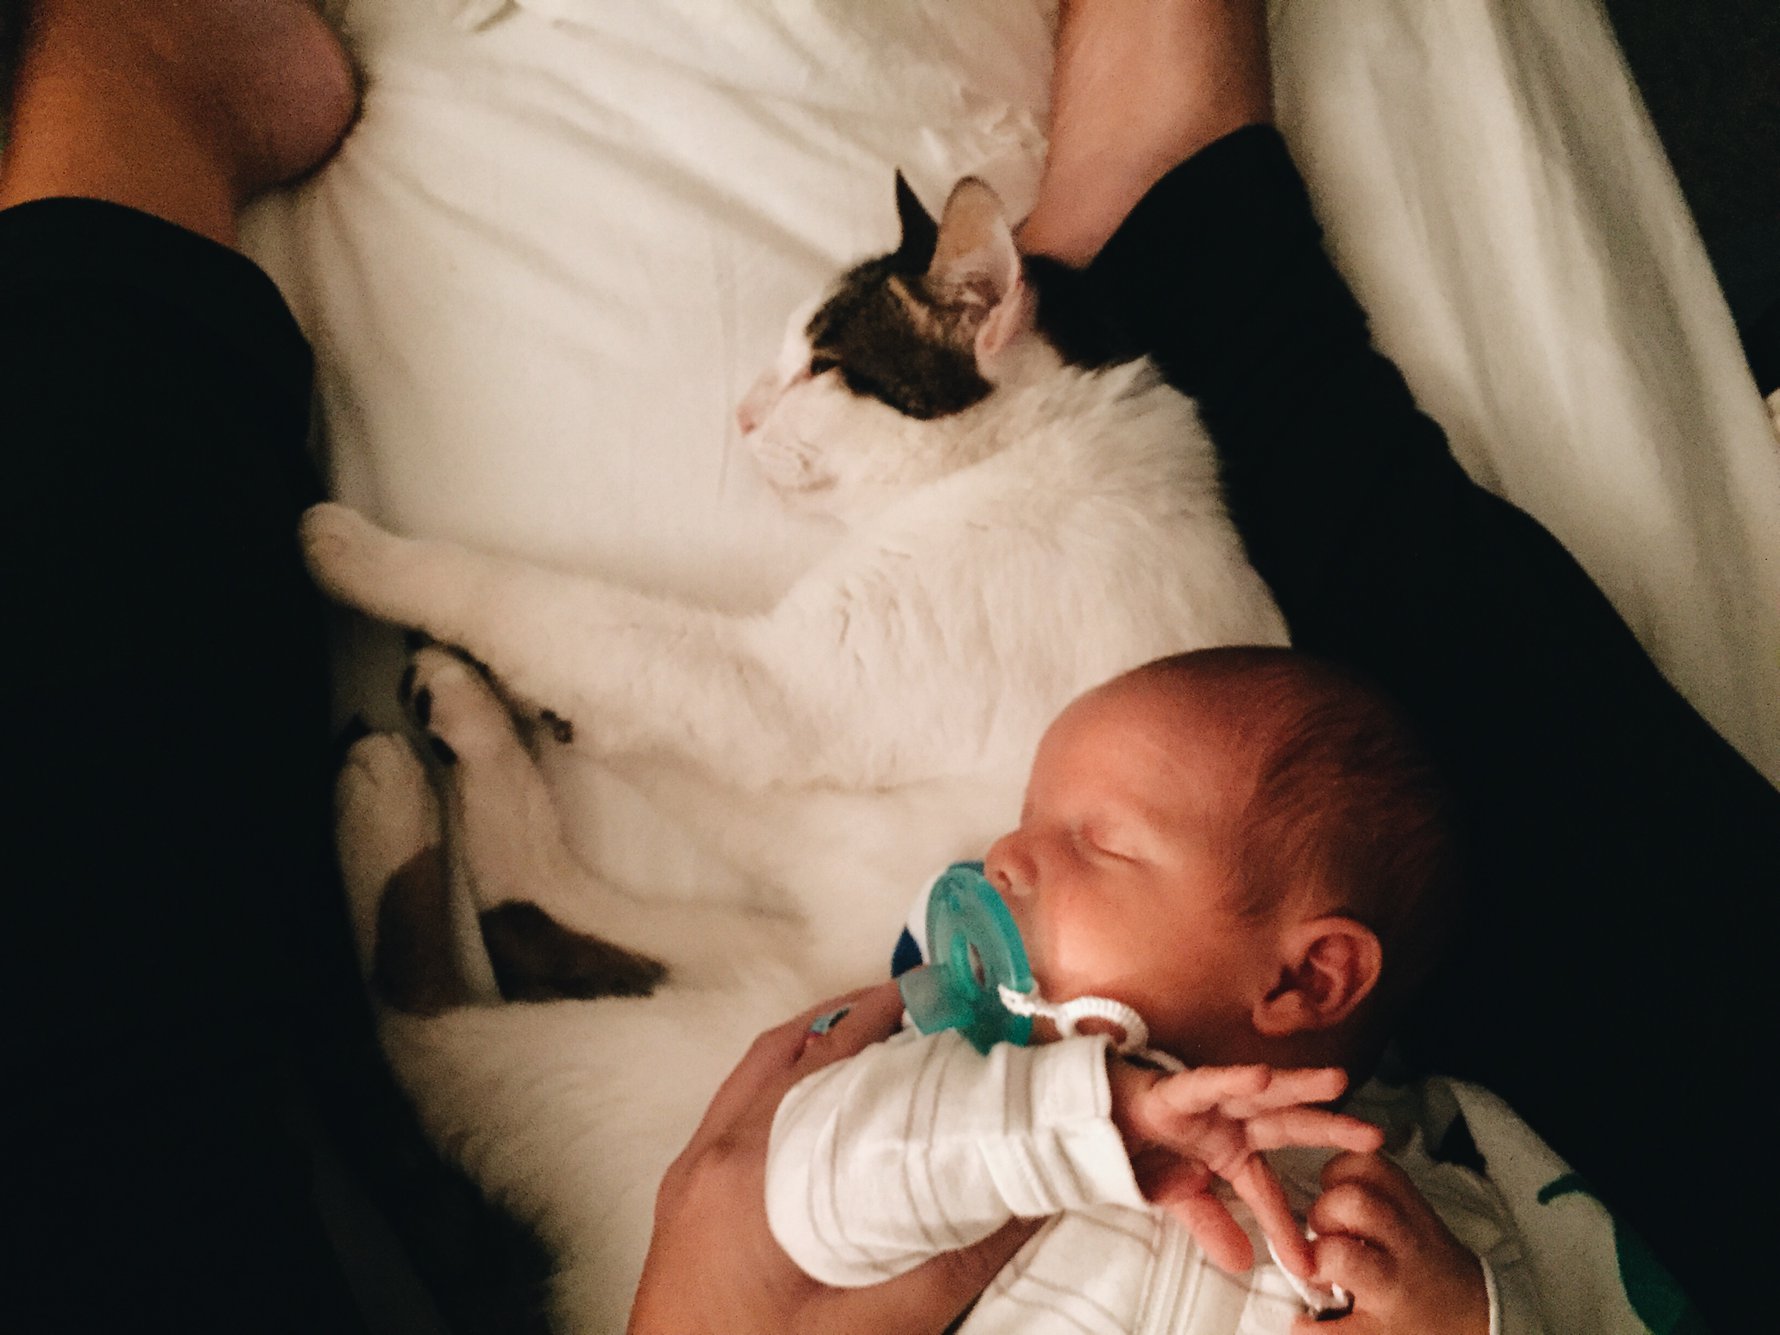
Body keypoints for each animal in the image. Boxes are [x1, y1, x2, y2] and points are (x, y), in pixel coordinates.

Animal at [304, 172, 1289, 1332]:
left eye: (822, 365)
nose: (738, 414)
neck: (1044, 447)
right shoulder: (780, 726)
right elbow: (614, 691)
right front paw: (515, 701)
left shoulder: (777, 692)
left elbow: (547, 608)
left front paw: (366, 556)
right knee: (539, 913)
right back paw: (461, 715)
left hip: (657, 1060)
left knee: (413, 1026)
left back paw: (386, 794)